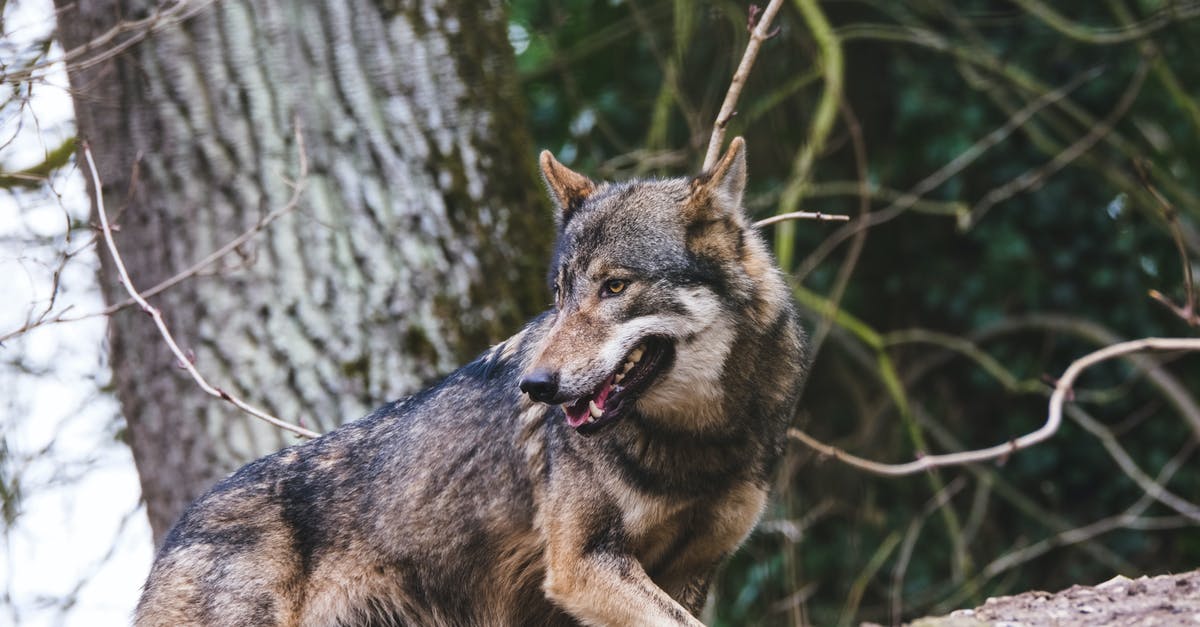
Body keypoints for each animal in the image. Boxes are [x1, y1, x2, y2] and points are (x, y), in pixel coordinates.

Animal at [135, 137, 807, 626]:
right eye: (560, 294)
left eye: (614, 286)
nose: (535, 386)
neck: (699, 440)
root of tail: (174, 534)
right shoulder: (582, 568)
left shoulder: (692, 572)